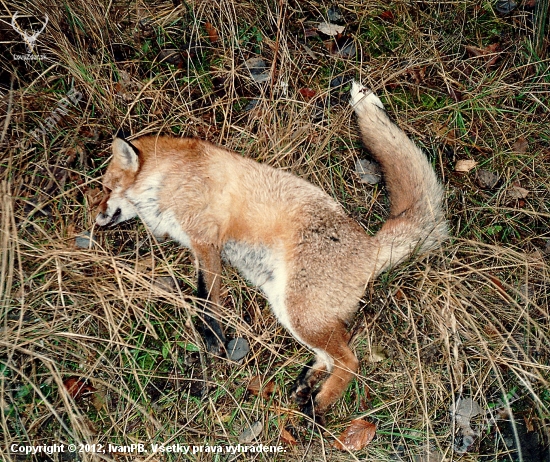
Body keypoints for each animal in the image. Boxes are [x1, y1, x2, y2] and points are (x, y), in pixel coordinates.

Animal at [95, 83, 448, 422]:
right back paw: (306, 384)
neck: (167, 177)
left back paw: (319, 406)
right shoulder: (197, 245)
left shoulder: (206, 241)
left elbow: (206, 300)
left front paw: (214, 340)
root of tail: (370, 246)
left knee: (350, 360)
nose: (96, 219)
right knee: (331, 354)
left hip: (299, 311)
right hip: (288, 308)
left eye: (107, 188)